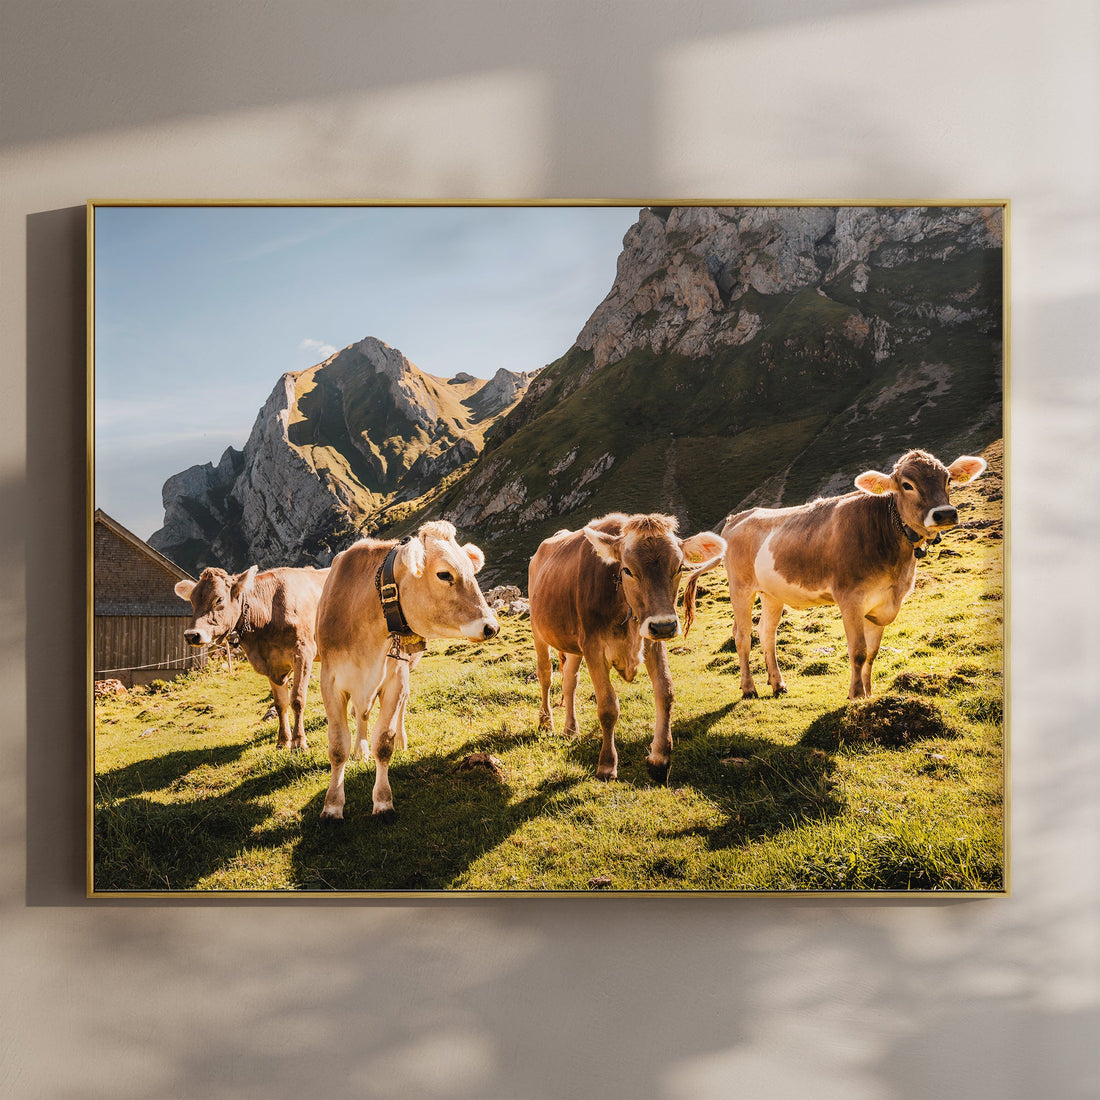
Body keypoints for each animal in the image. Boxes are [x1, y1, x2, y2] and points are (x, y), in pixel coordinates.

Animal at [174, 565, 329, 749]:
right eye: (192, 601)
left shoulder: (303, 654)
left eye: (218, 599)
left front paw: (298, 742)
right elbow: (280, 704)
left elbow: (297, 699)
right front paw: (282, 741)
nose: (191, 635)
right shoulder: (271, 665)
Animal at [315, 520, 499, 822]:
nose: (491, 627)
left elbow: (383, 742)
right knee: (362, 714)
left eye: (472, 572)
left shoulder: (395, 680)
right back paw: (360, 749)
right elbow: (338, 746)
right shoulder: (330, 682)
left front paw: (382, 802)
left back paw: (401, 739)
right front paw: (332, 806)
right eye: (444, 574)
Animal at [529, 513, 727, 784]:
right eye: (627, 570)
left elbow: (665, 692)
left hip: (573, 644)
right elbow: (608, 707)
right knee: (545, 675)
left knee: (570, 680)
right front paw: (606, 765)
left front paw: (659, 759)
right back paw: (546, 722)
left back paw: (570, 729)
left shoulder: (651, 639)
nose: (664, 625)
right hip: (538, 631)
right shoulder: (593, 647)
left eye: (679, 567)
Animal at [684, 449, 987, 701]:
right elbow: (858, 651)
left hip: (772, 592)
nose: (945, 513)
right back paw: (749, 688)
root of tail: (737, 518)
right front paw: (856, 695)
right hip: (740, 587)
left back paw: (778, 684)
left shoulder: (882, 603)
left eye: (948, 480)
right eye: (907, 485)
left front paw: (869, 693)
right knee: (742, 636)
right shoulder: (850, 597)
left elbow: (872, 653)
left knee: (766, 633)